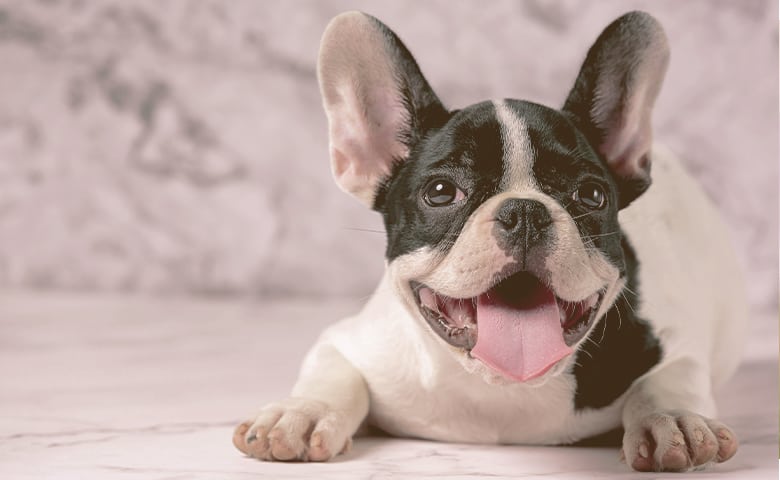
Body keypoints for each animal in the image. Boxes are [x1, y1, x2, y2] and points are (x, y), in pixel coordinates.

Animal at [233, 11, 748, 472]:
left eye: (591, 195)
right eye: (441, 191)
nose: (524, 212)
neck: (502, 386)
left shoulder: (677, 346)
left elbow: (666, 381)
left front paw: (672, 420)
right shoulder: (351, 342)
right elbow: (330, 372)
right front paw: (302, 412)